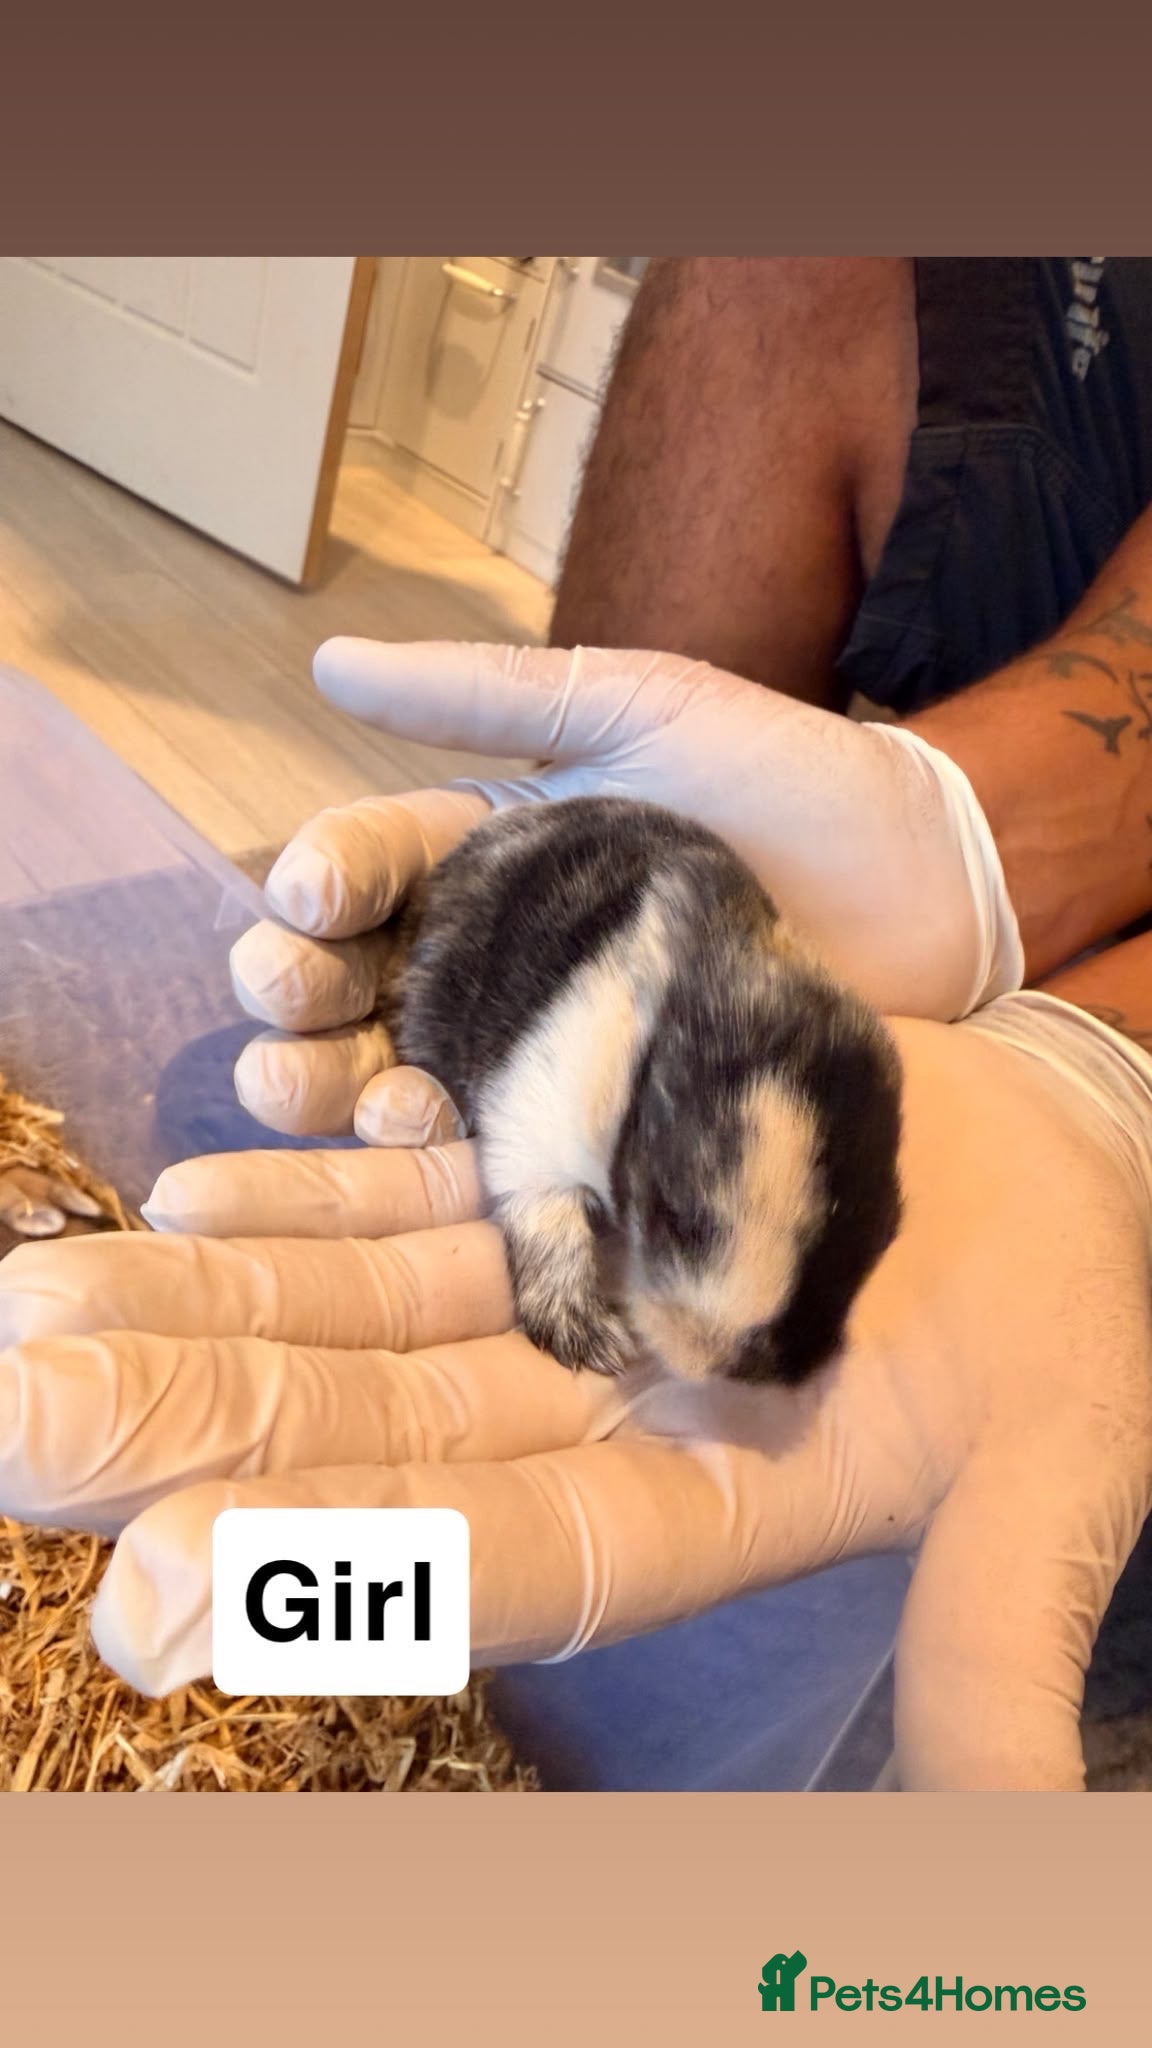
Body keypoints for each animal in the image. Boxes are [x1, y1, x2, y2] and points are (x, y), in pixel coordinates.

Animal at [381, 794, 903, 1386]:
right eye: (677, 1215)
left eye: (885, 1230)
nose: (742, 1370)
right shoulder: (535, 1117)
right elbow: (541, 1208)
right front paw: (590, 1339)